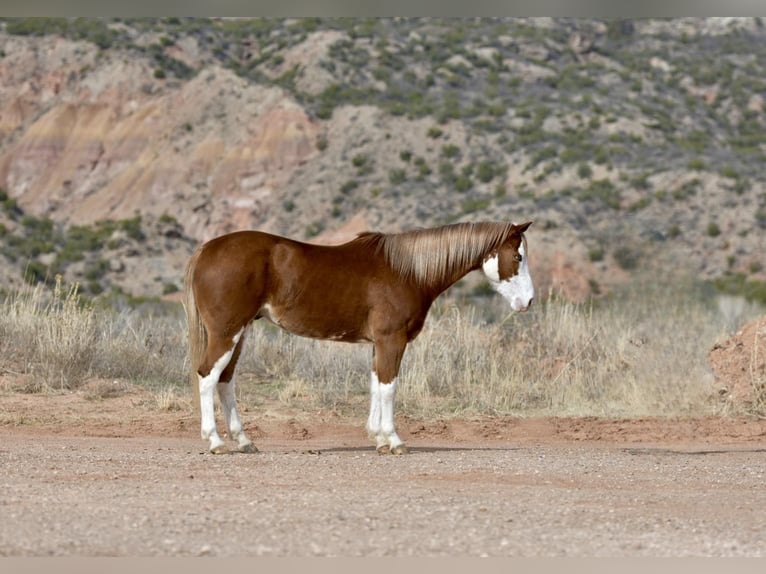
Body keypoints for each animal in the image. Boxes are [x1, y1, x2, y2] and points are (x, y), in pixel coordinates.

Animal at [185, 223, 536, 456]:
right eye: (518, 256)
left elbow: (376, 384)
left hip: (240, 333)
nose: (529, 302)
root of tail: (206, 250)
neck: (407, 271)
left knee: (225, 380)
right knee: (207, 376)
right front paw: (394, 441)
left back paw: (244, 441)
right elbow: (389, 386)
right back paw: (215, 442)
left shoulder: (377, 344)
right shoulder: (392, 340)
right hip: (226, 332)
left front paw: (378, 438)